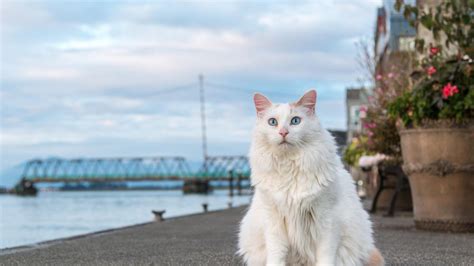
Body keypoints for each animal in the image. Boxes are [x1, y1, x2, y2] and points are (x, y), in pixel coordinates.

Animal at [239, 90, 384, 264]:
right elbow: (276, 254)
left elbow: (325, 256)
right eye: (272, 122)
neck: (289, 166)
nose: (283, 132)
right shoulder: (274, 221)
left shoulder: (326, 218)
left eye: (295, 121)